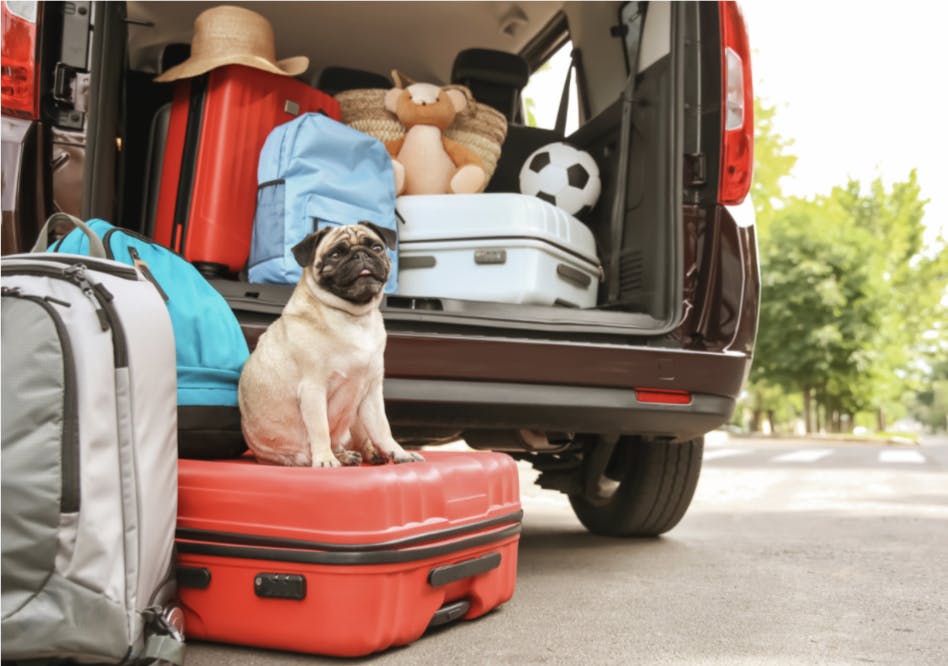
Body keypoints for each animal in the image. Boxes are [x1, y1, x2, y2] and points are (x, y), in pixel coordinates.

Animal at [239, 220, 424, 464]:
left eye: (376, 248)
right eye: (336, 254)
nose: (360, 255)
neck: (355, 318)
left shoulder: (371, 393)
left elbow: (383, 429)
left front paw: (399, 452)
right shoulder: (313, 389)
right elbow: (320, 429)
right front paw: (325, 459)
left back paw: (364, 454)